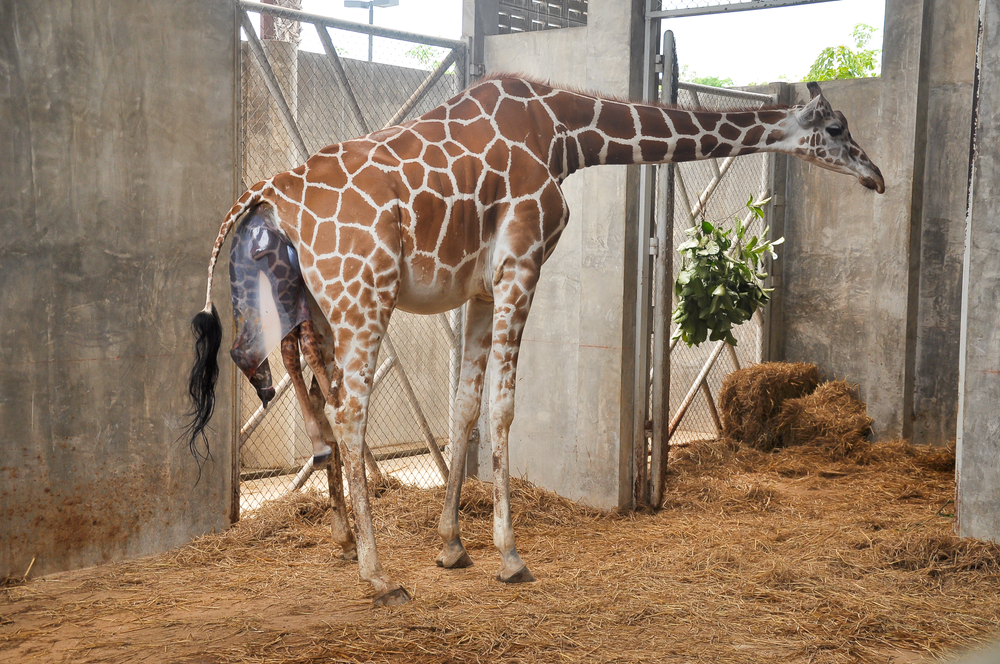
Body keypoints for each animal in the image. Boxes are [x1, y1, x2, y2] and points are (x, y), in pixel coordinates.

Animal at [186, 75, 884, 604]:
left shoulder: (480, 287)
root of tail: (264, 195)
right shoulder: (520, 266)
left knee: (321, 409)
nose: (876, 177)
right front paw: (510, 556)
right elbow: (502, 407)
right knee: (348, 414)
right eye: (838, 129)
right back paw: (378, 577)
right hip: (364, 296)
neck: (566, 135)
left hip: (317, 309)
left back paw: (353, 546)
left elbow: (464, 407)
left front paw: (452, 547)